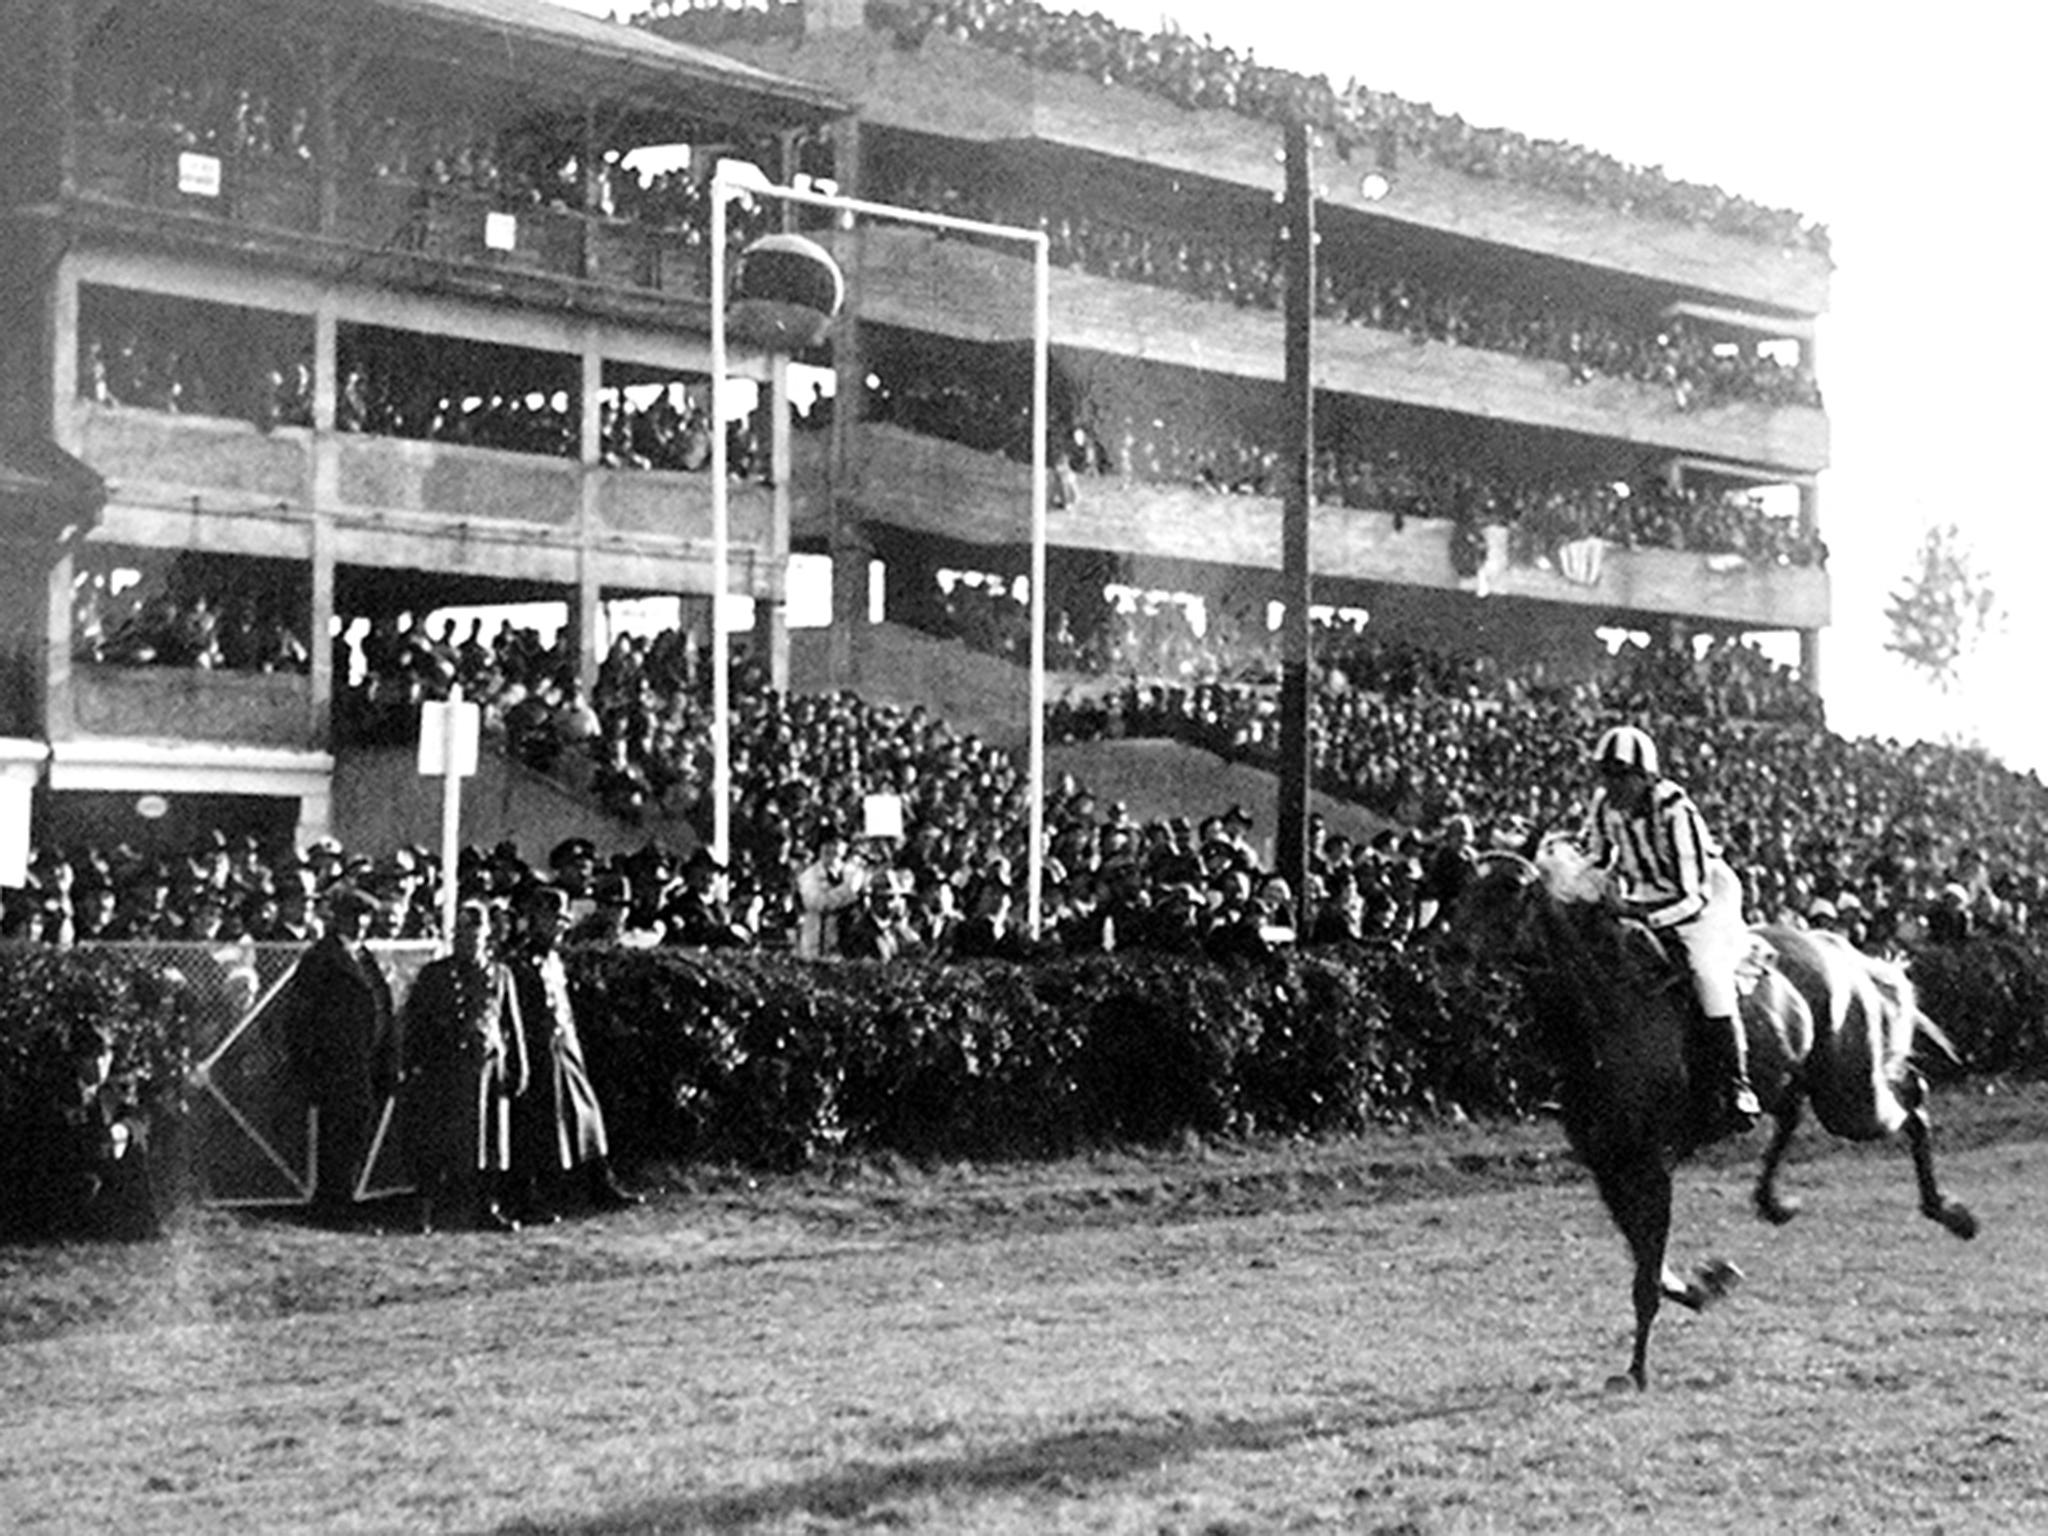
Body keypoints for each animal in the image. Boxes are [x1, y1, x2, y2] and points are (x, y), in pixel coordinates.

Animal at [1441, 843, 1982, 1392]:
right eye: (1462, 883)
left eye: (1511, 887)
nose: (1450, 951)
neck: (1605, 1016)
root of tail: (1836, 947)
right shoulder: (1607, 1166)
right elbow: (1649, 1262)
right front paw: (1708, 1283)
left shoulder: (1651, 1164)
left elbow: (1646, 1275)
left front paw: (1635, 1370)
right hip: (1800, 1082)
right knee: (1795, 1116)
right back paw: (1775, 1203)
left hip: (1849, 1100)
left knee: (1912, 1103)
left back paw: (1950, 1213)